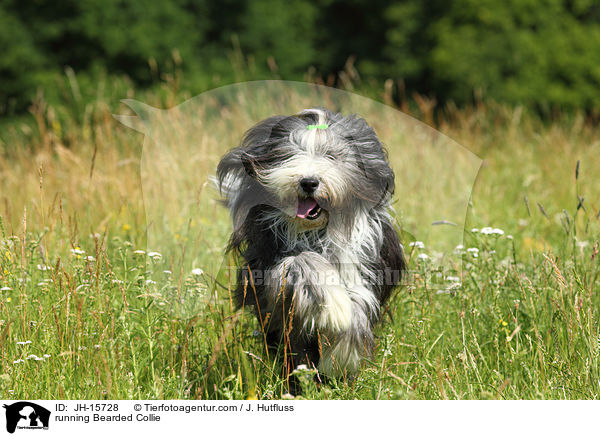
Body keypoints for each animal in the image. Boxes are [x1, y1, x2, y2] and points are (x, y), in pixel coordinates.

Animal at [218, 106, 406, 382]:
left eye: (332, 155)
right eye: (289, 154)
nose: (308, 182)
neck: (315, 231)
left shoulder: (361, 259)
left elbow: (356, 302)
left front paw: (341, 353)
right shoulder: (267, 258)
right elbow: (301, 262)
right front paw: (334, 307)